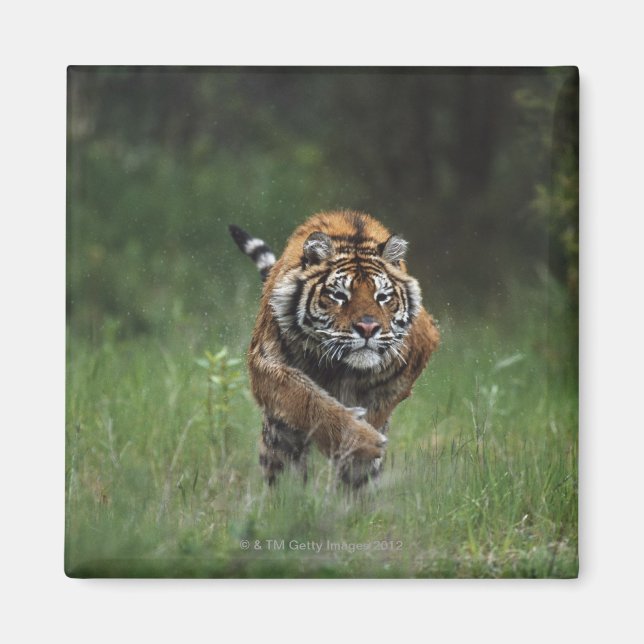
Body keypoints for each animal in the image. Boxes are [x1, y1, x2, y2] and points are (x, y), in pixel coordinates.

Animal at [229, 209, 440, 487]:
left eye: (382, 297)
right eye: (340, 296)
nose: (368, 328)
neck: (342, 368)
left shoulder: (419, 349)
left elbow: (381, 404)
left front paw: (362, 445)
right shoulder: (264, 363)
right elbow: (305, 397)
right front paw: (359, 439)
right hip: (277, 439)